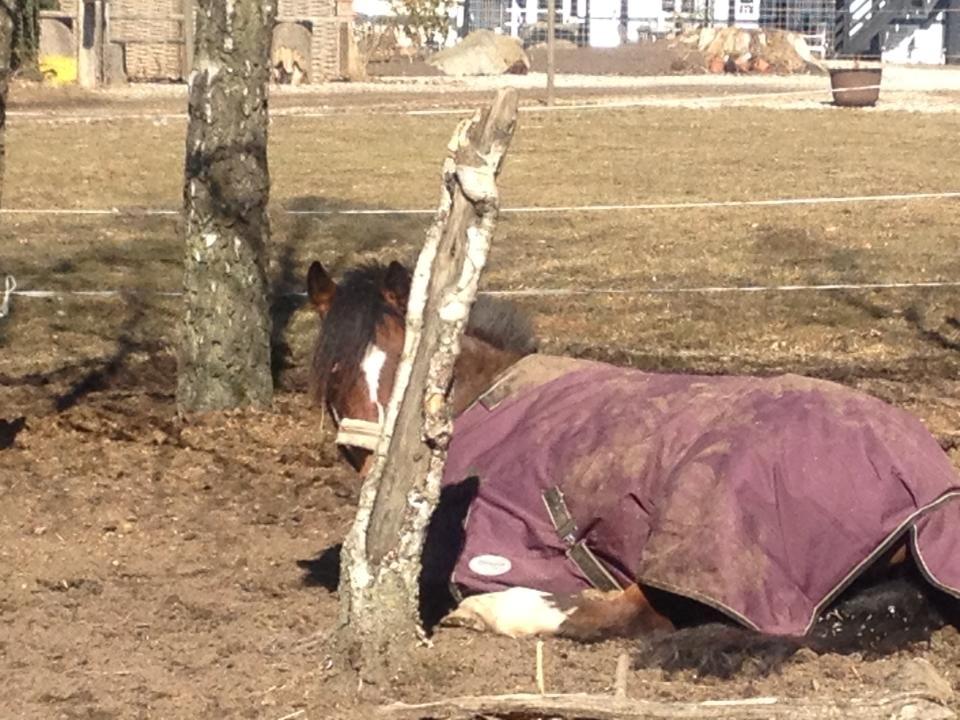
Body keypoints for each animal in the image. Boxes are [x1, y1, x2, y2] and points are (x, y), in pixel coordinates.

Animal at [306, 262, 960, 676]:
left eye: (412, 368)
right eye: (334, 371)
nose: (379, 476)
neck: (482, 397)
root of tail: (927, 486)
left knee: (644, 609)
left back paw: (502, 612)